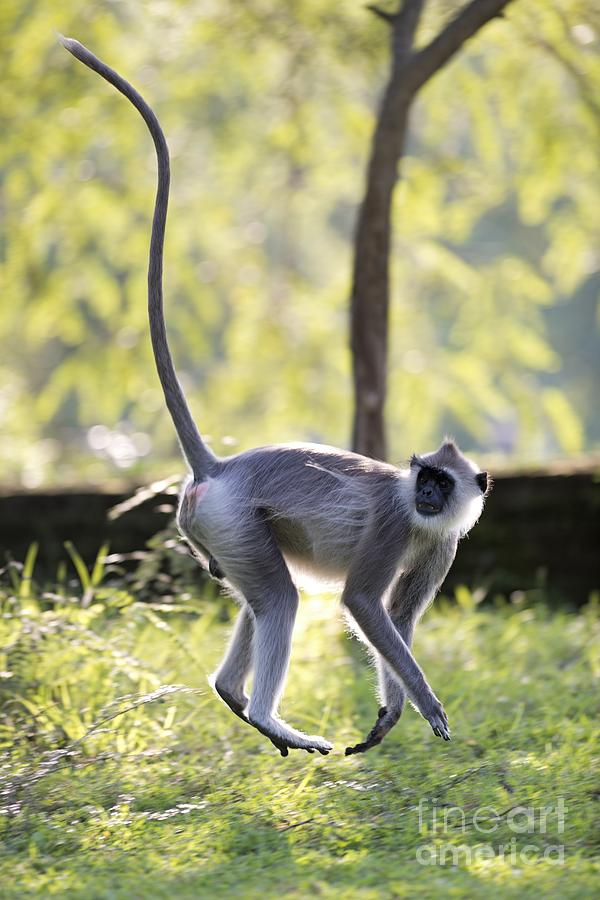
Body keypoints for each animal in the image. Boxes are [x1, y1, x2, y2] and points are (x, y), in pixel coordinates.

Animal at [58, 40, 490, 760]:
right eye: (423, 478)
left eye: (441, 482)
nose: (428, 494)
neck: (418, 515)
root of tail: (219, 469)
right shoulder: (393, 524)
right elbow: (364, 605)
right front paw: (427, 705)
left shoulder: (441, 543)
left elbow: (398, 617)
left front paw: (391, 712)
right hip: (231, 518)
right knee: (282, 600)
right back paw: (267, 715)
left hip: (220, 531)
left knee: (260, 598)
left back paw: (235, 698)